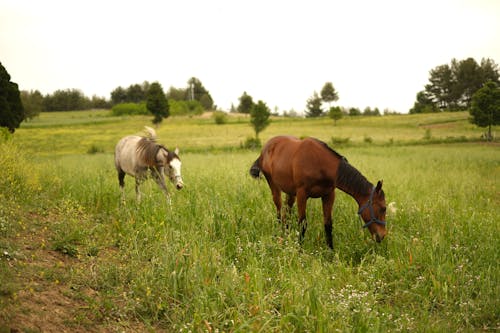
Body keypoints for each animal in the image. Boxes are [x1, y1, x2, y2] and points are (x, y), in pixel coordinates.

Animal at [250, 134, 386, 246]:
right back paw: (281, 234)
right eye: (383, 208)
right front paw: (300, 250)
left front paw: (331, 253)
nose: (382, 235)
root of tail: (265, 149)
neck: (319, 163)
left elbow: (328, 225)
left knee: (287, 211)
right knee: (279, 209)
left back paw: (286, 233)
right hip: (274, 185)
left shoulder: (328, 195)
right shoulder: (302, 195)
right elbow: (303, 224)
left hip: (290, 193)